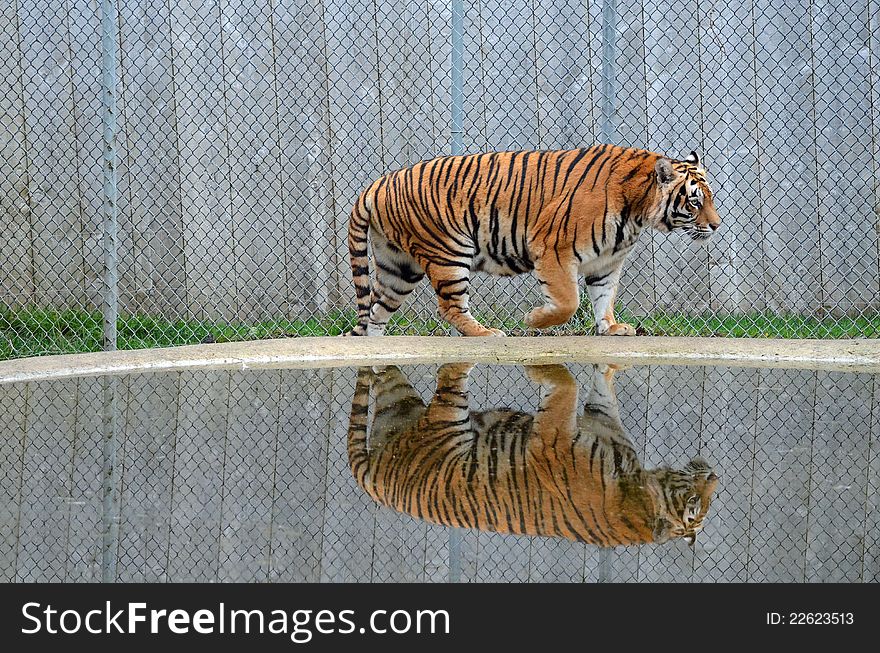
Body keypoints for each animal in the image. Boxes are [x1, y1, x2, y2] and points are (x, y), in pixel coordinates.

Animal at [344, 143, 716, 336]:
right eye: (695, 202)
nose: (716, 226)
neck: (636, 212)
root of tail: (376, 184)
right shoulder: (553, 248)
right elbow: (568, 301)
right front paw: (534, 320)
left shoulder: (607, 262)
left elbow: (604, 297)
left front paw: (611, 328)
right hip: (449, 252)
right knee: (448, 307)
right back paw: (486, 333)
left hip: (399, 268)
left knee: (376, 311)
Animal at [348, 362, 720, 544]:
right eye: (695, 503)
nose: (715, 476)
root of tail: (375, 480)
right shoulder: (598, 416)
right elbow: (597, 380)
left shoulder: (553, 438)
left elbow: (567, 383)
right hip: (399, 399)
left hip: (441, 417)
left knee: (446, 374)